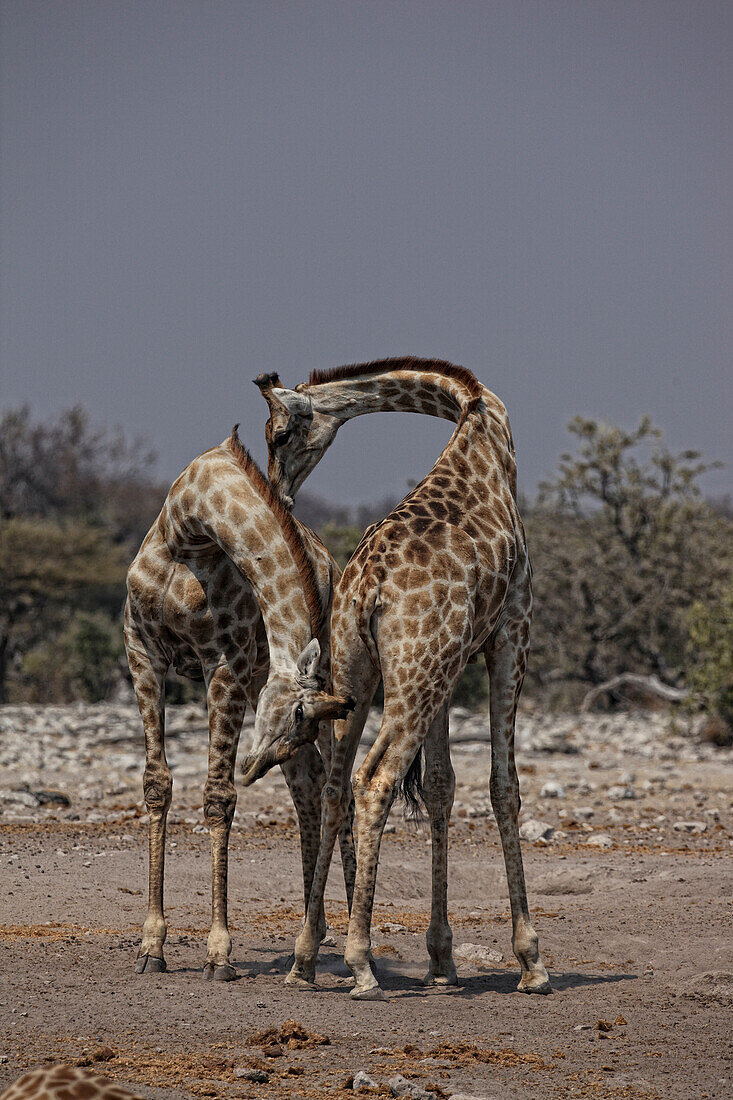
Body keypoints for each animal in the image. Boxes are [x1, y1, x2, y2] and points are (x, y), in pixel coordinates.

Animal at [125, 426, 354, 981]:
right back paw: (309, 940)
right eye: (296, 715)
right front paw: (151, 945)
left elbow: (218, 796)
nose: (253, 767)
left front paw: (219, 953)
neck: (189, 529)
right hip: (260, 681)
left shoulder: (223, 662)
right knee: (308, 784)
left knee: (338, 787)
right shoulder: (141, 649)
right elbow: (157, 784)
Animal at [250, 358, 548, 998]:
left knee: (338, 785)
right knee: (376, 779)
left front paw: (442, 960)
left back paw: (305, 957)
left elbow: (439, 785)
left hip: (362, 674)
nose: (281, 493)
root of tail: (367, 591)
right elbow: (502, 785)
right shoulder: (511, 627)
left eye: (280, 434)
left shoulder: (449, 664)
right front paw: (530, 960)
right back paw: (361, 961)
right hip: (411, 679)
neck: (479, 418)